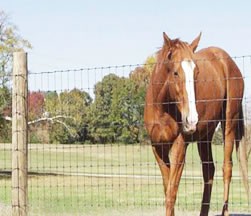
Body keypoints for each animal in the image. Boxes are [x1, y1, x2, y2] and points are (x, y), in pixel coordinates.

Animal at [143, 32, 249, 216]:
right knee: (209, 172)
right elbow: (167, 189)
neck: (162, 109)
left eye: (196, 72)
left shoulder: (179, 146)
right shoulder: (158, 148)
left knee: (226, 168)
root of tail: (229, 61)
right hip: (205, 136)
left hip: (229, 123)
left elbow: (171, 194)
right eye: (175, 73)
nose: (191, 120)